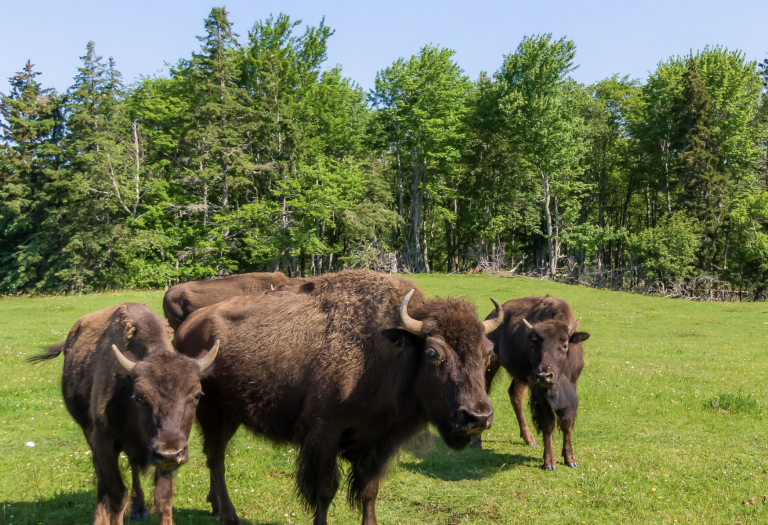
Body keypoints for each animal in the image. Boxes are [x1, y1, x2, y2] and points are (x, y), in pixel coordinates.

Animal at [31, 302, 218, 524]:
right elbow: (118, 496)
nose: (170, 453)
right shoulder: (105, 443)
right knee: (102, 477)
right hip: (89, 432)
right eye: (139, 397)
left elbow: (164, 498)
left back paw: (139, 509)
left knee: (133, 466)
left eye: (197, 394)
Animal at [468, 294, 588, 470]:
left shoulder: (572, 385)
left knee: (515, 396)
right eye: (533, 344)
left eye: (564, 345)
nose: (545, 375)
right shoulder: (538, 390)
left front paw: (570, 459)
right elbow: (548, 424)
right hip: (490, 365)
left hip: (520, 377)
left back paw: (529, 439)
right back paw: (477, 442)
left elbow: (566, 422)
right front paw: (549, 463)